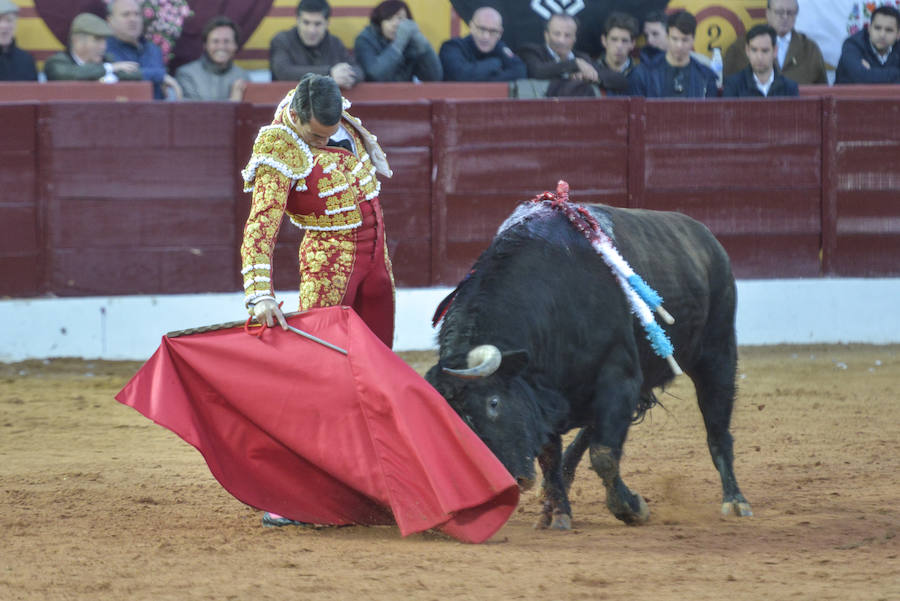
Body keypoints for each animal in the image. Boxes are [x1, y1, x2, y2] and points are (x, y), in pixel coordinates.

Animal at [428, 203, 752, 528]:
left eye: (493, 403)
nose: (513, 481)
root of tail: (706, 237)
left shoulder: (619, 379)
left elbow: (604, 454)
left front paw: (632, 508)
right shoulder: (546, 392)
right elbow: (551, 454)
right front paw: (556, 512)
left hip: (717, 352)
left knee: (717, 426)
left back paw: (735, 501)